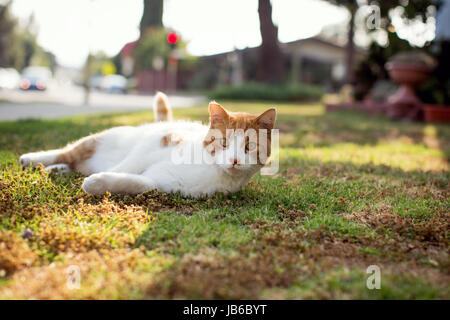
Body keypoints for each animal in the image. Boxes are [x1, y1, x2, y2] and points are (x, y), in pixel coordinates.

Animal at [19, 92, 276, 198]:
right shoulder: (156, 142)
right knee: (66, 153)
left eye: (249, 147)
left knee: (72, 163)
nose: (234, 160)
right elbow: (128, 166)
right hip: (99, 140)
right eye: (223, 142)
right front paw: (102, 176)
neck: (210, 167)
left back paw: (56, 170)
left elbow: (135, 182)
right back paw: (35, 160)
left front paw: (97, 183)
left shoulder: (161, 182)